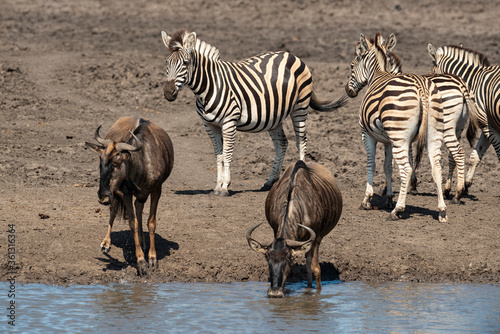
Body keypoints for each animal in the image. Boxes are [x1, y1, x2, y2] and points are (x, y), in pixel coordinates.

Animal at [160, 29, 348, 196]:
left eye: (185, 63)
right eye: (167, 63)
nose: (168, 93)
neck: (209, 87)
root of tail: (292, 55)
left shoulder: (229, 122)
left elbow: (227, 154)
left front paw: (224, 187)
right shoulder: (209, 125)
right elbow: (219, 156)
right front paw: (217, 185)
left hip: (300, 107)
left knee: (301, 141)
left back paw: (300, 178)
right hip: (274, 115)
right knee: (282, 143)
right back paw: (270, 181)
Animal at [346, 33, 448, 222]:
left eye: (351, 66)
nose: (348, 92)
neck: (378, 74)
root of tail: (422, 87)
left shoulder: (367, 135)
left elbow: (371, 164)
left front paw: (367, 200)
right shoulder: (388, 141)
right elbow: (388, 166)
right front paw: (388, 198)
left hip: (400, 137)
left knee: (407, 170)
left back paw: (398, 210)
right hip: (433, 134)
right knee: (437, 168)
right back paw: (442, 211)